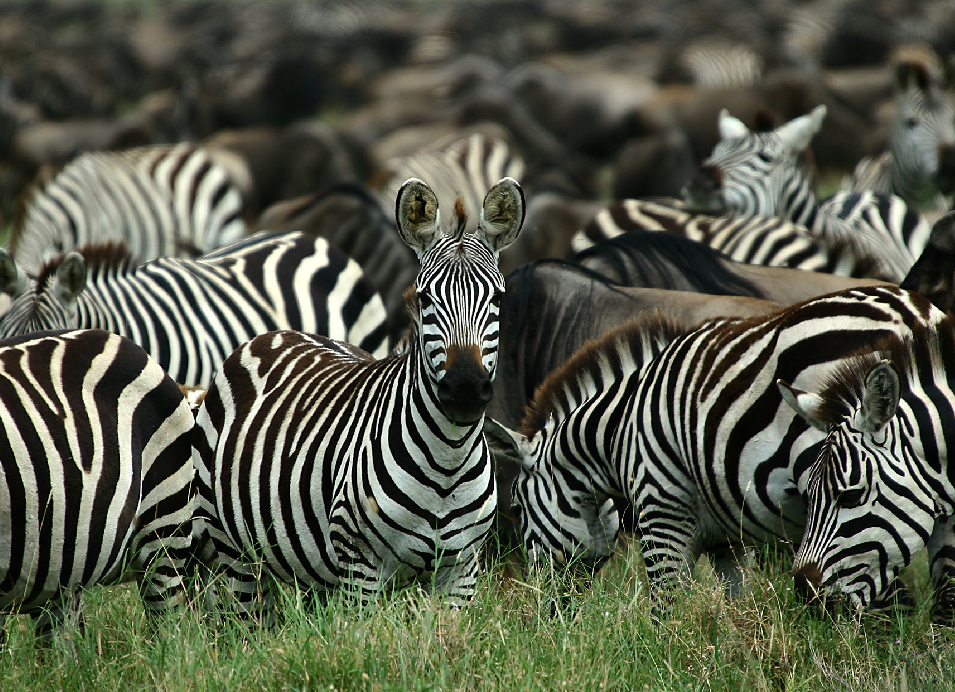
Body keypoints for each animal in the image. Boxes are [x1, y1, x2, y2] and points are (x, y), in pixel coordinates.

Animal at [192, 177, 524, 615]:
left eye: (499, 298)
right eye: (424, 298)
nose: (466, 388)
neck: (446, 465)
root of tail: (277, 333)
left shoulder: (460, 573)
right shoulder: (359, 569)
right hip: (233, 553)